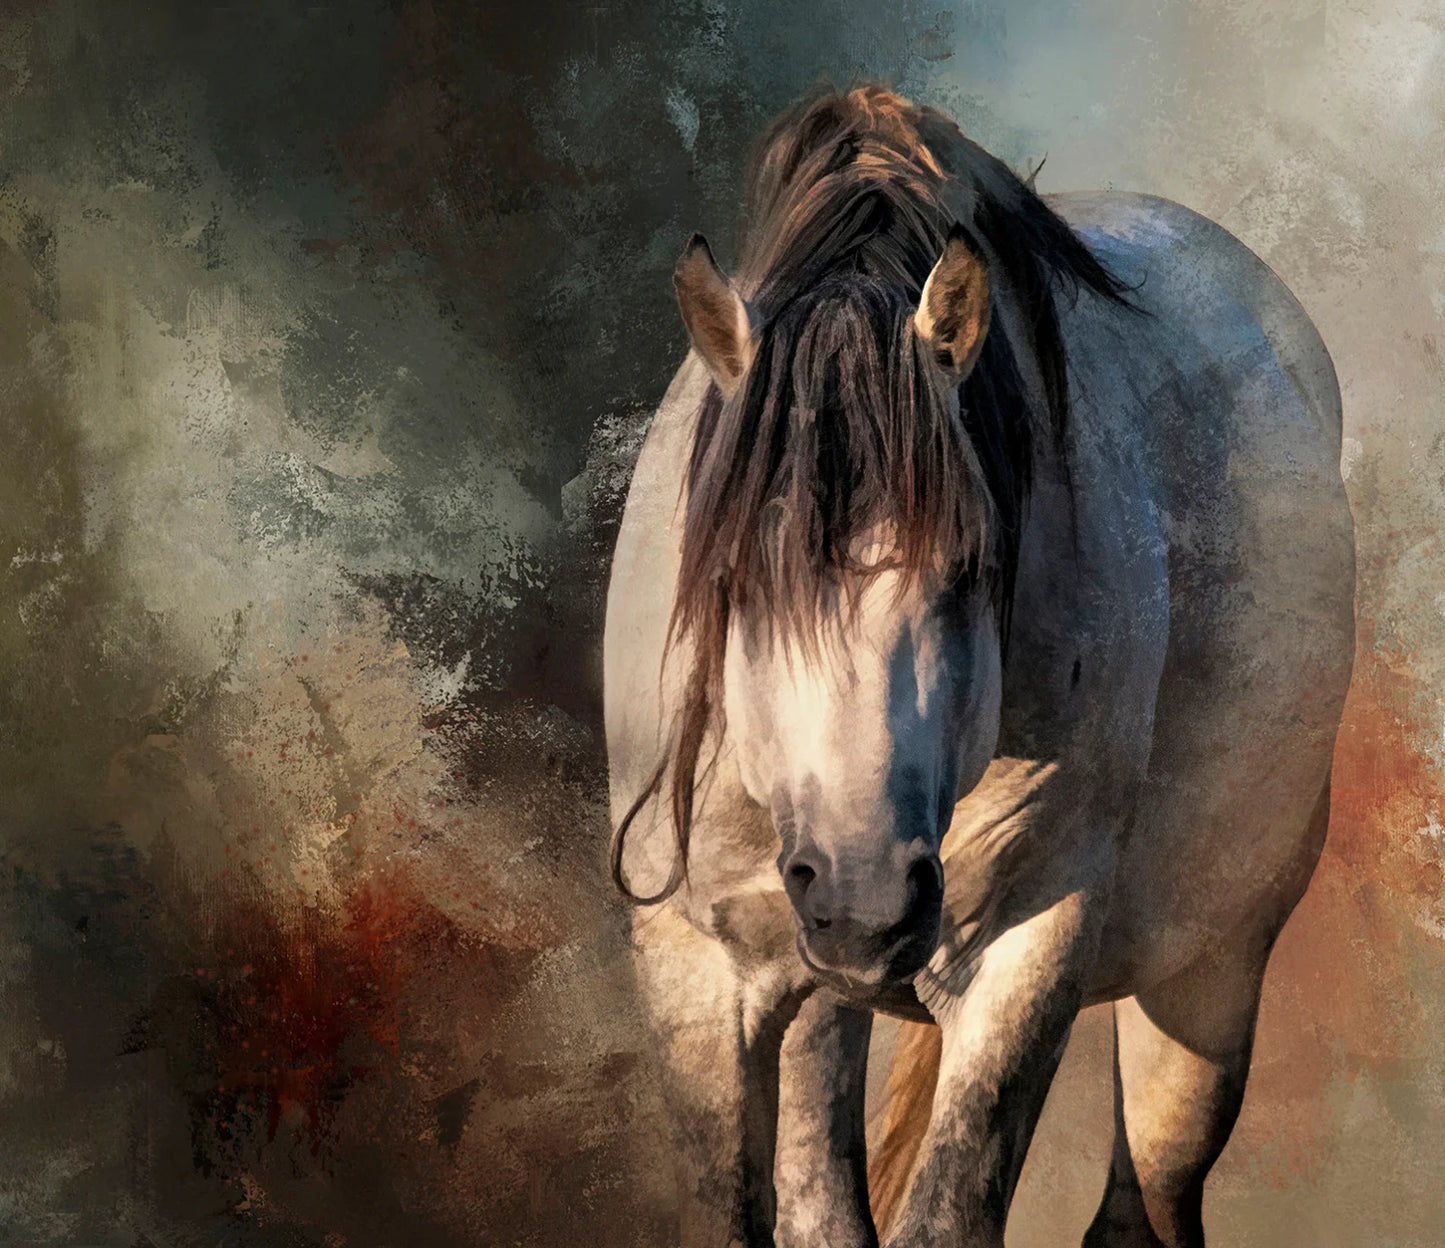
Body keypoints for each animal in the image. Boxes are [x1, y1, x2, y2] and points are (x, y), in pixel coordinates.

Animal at [603, 86, 1354, 1248]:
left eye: (971, 565)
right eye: (732, 576)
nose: (866, 901)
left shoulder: (1025, 952)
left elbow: (949, 1211)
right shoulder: (692, 971)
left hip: (1207, 977)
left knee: (1146, 1201)